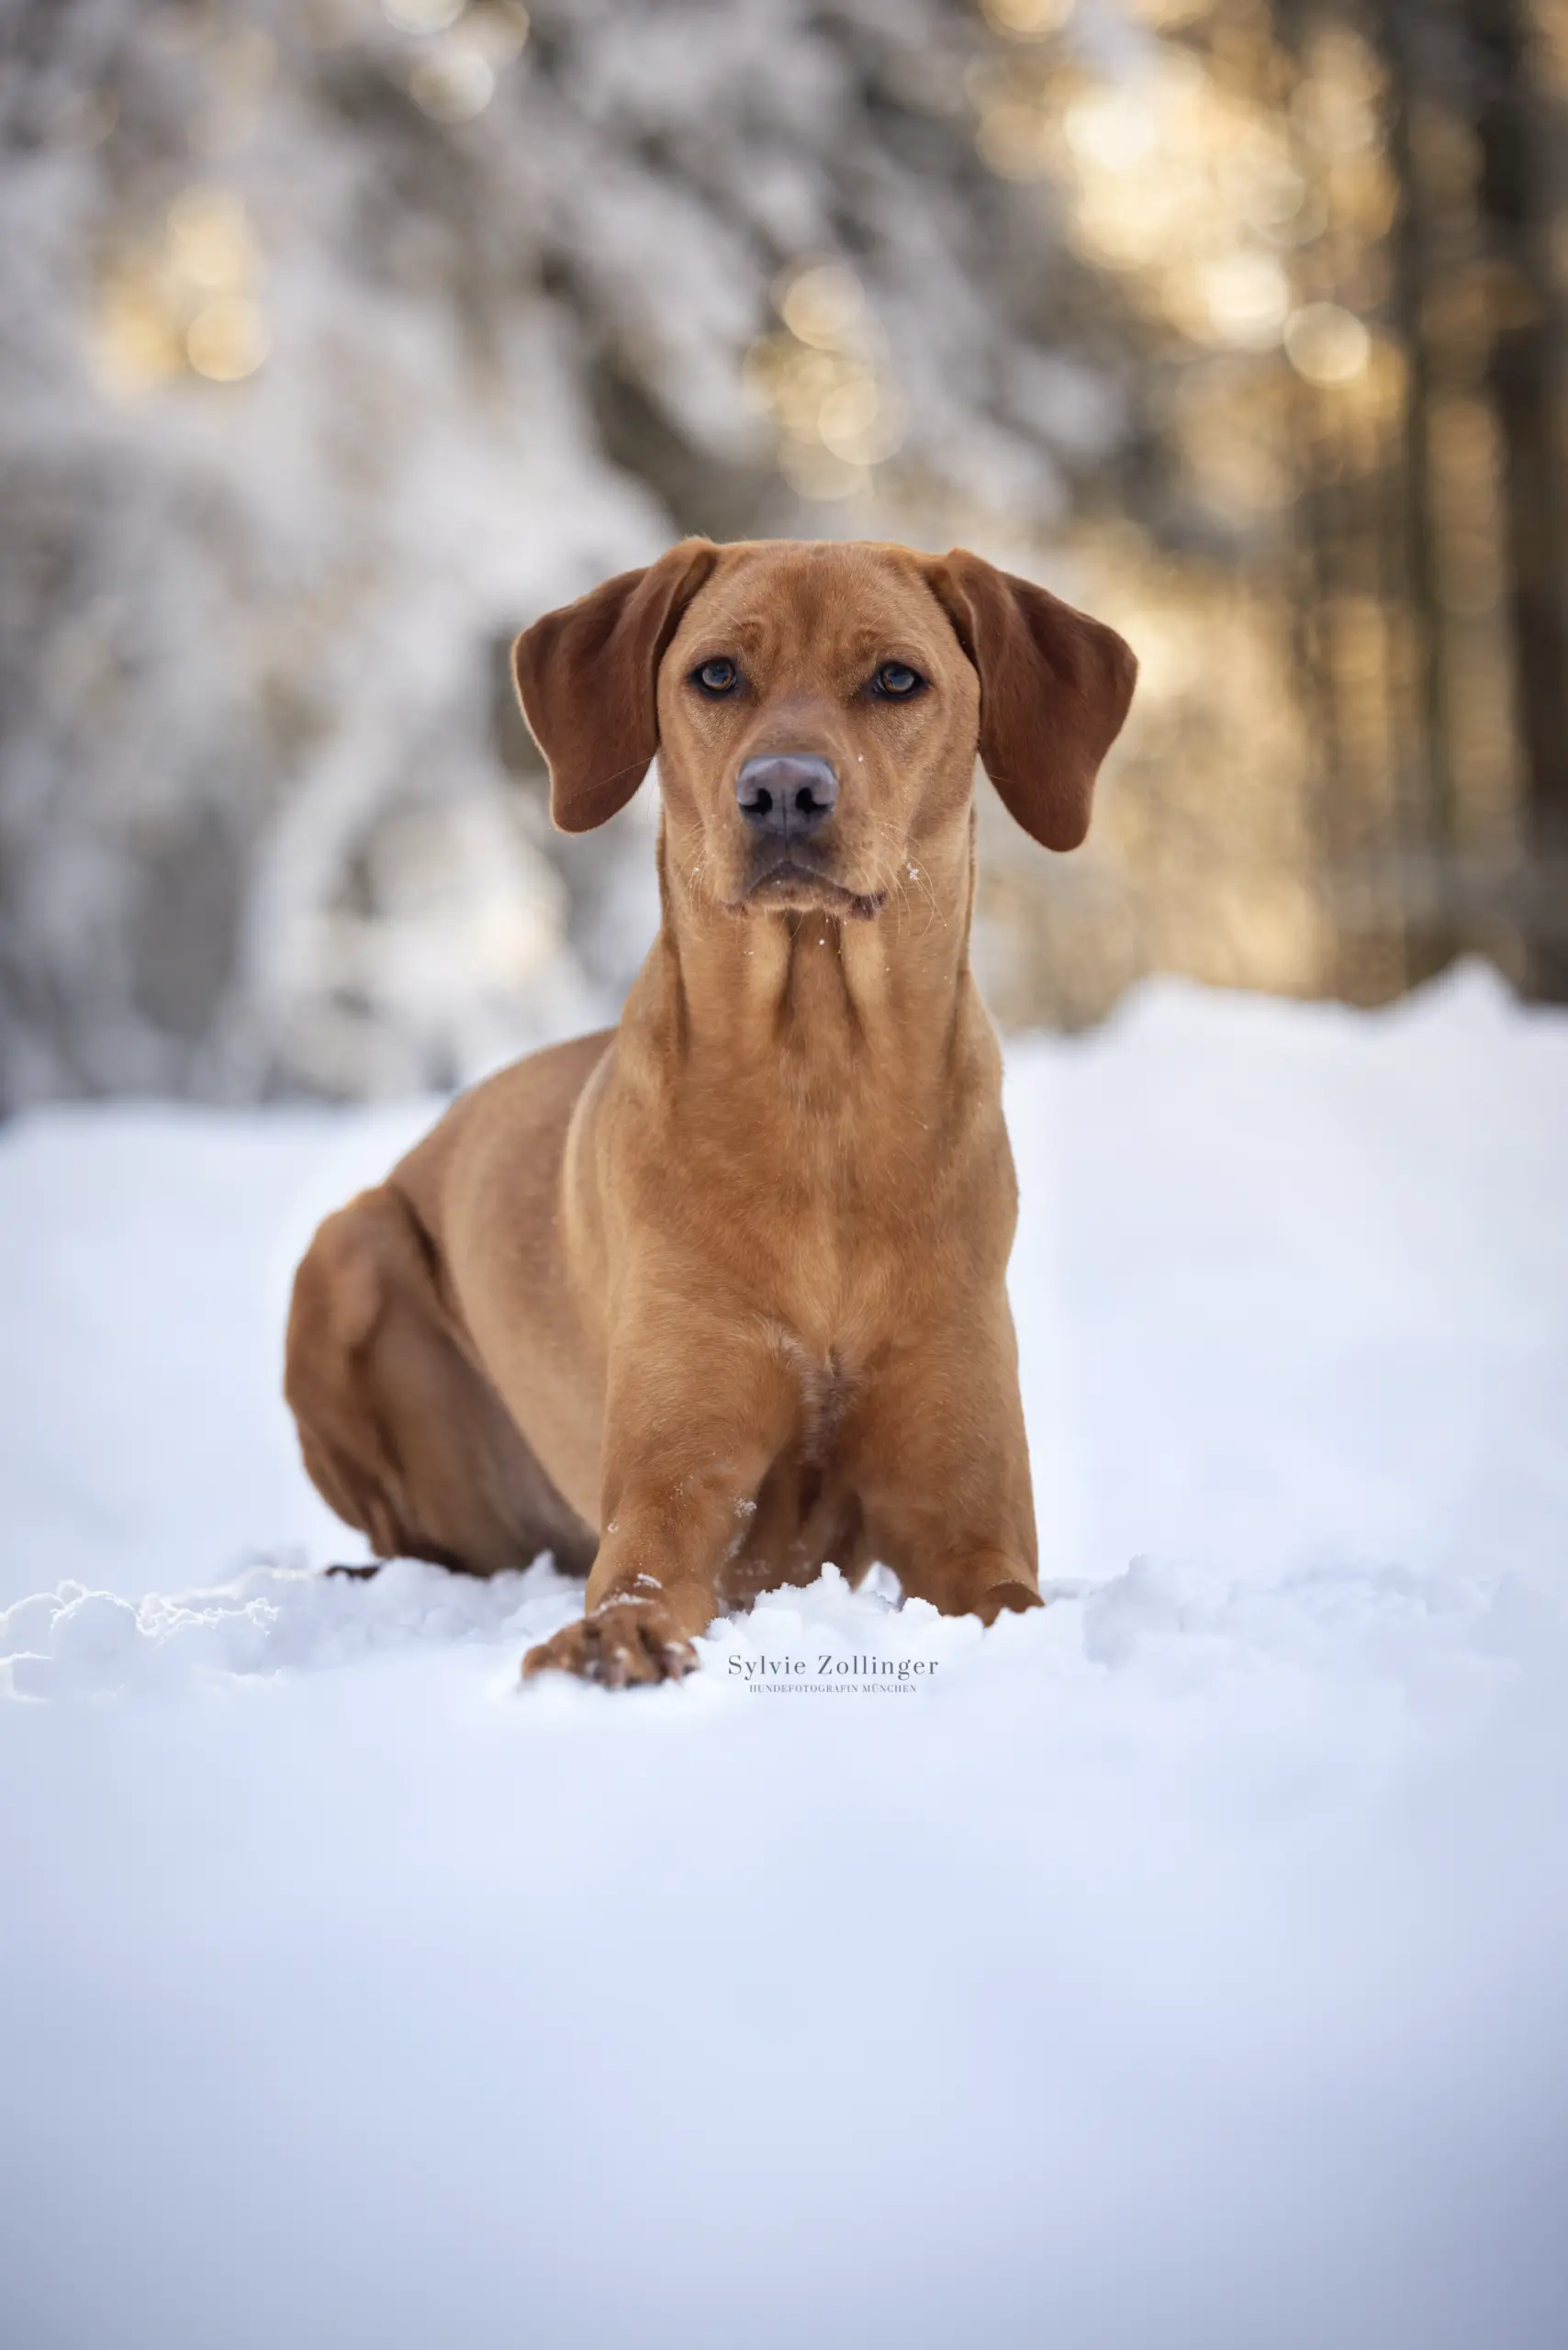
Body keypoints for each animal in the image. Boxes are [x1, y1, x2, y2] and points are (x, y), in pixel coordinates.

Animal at [286, 540, 1142, 1682]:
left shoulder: (966, 1521)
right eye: (718, 674)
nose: (781, 790)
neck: (821, 1083)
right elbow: (643, 1570)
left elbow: (1008, 1594)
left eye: (897, 679)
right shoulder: (676, 1481)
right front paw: (612, 1641)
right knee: (415, 1537)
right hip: (345, 1250)